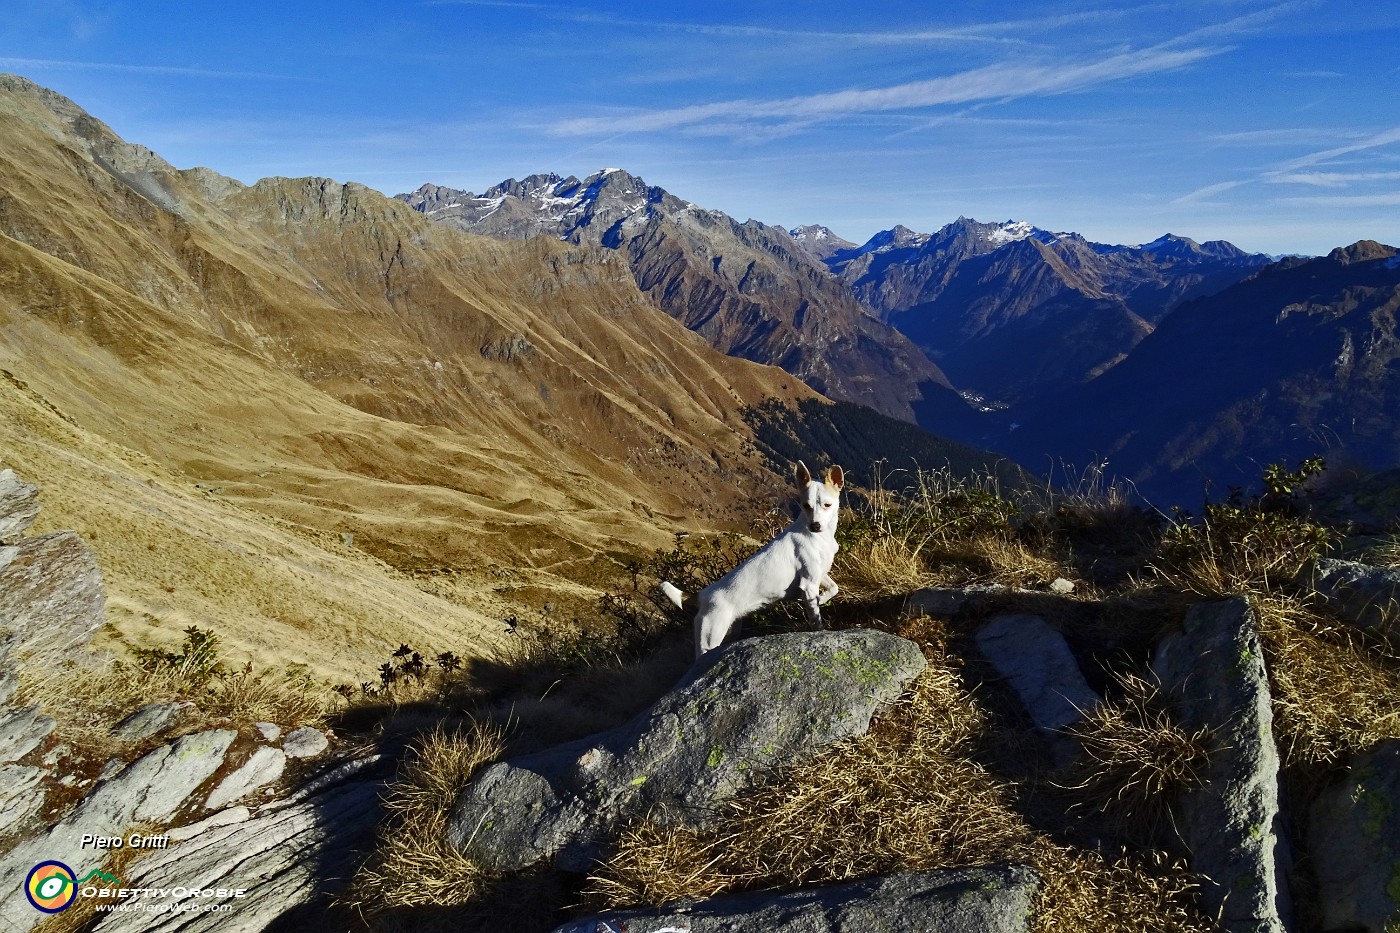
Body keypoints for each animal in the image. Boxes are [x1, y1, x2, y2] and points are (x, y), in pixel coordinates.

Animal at [658, 459, 840, 652]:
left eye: (827, 505)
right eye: (806, 506)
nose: (815, 526)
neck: (819, 537)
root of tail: (701, 596)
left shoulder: (820, 575)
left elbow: (834, 588)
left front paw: (823, 599)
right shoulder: (808, 584)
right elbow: (815, 619)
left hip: (731, 630)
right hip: (709, 637)